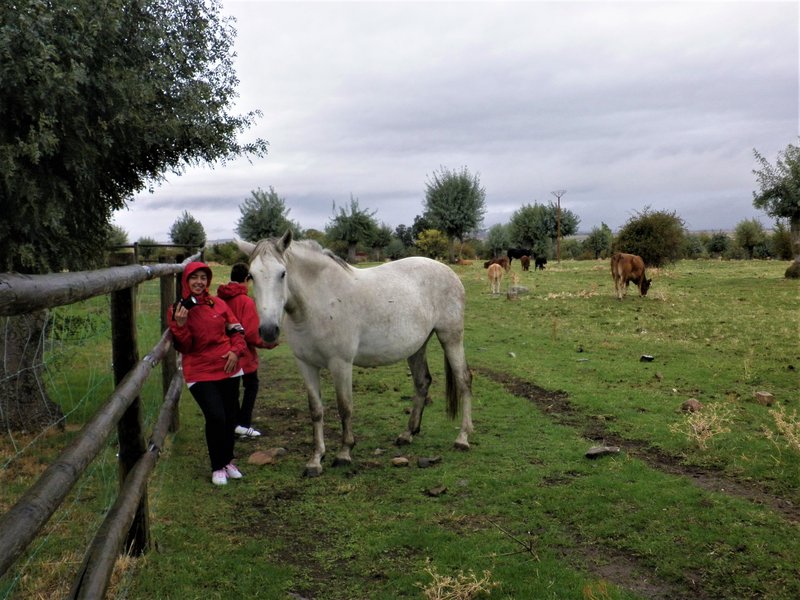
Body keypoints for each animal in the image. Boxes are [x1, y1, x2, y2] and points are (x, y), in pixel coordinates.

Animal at [239, 232, 476, 476]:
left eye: (282, 273)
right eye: (251, 275)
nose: (268, 330)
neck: (319, 302)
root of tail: (448, 271)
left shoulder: (340, 363)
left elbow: (344, 407)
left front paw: (344, 453)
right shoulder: (305, 364)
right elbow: (316, 410)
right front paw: (316, 460)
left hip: (451, 337)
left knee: (464, 380)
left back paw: (463, 438)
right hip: (417, 346)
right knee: (422, 382)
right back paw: (408, 434)